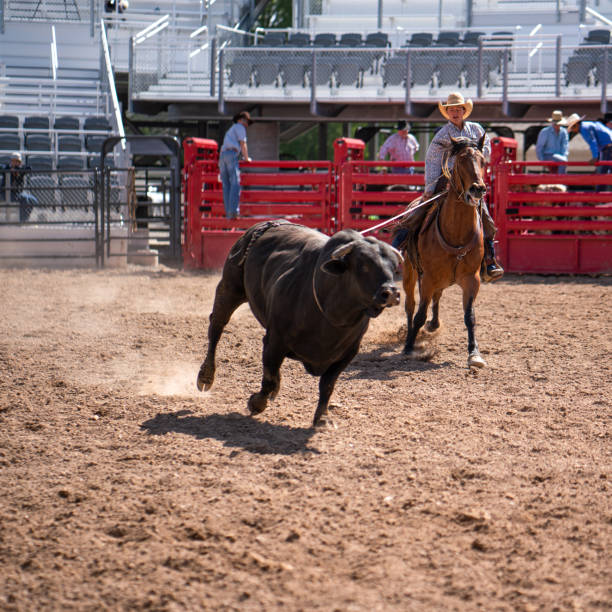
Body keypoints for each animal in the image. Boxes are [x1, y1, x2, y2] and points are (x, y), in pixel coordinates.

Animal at [198, 220, 404, 426]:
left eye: (395, 268)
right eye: (364, 265)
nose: (391, 292)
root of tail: (266, 225)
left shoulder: (348, 353)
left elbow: (327, 384)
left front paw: (322, 417)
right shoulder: (274, 341)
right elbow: (269, 378)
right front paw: (257, 402)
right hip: (230, 288)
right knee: (216, 328)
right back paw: (206, 376)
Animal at [402, 136, 488, 366]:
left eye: (483, 161)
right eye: (461, 161)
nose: (478, 189)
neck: (456, 232)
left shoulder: (472, 279)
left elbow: (470, 316)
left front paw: (474, 353)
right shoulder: (428, 278)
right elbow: (419, 315)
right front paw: (409, 346)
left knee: (437, 297)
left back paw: (434, 324)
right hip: (409, 272)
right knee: (411, 305)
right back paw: (409, 336)